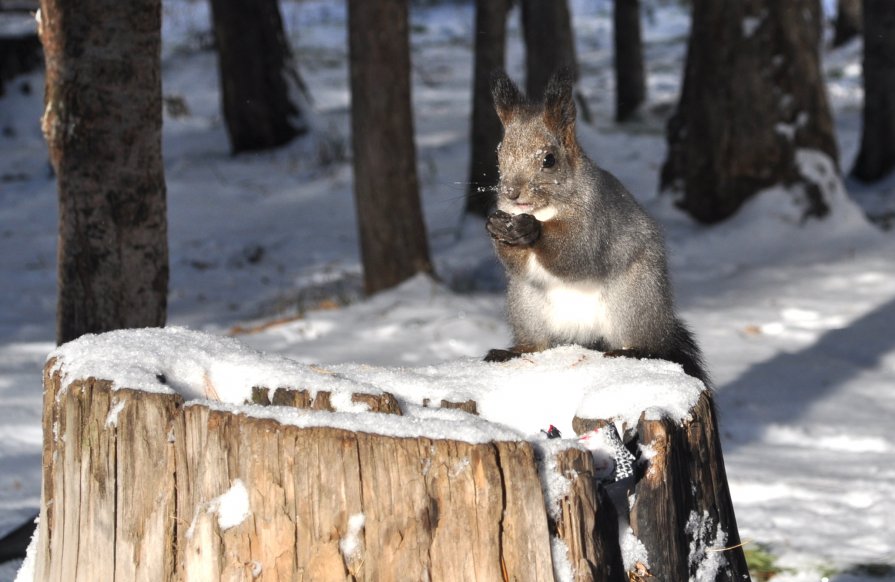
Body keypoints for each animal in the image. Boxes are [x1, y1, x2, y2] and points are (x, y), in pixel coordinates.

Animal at [486, 70, 712, 388]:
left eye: (549, 160)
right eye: (499, 154)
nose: (511, 192)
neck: (544, 209)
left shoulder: (596, 218)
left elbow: (577, 250)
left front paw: (532, 230)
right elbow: (516, 262)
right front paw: (496, 226)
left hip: (633, 299)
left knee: (644, 344)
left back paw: (632, 352)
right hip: (527, 305)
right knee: (538, 344)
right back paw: (512, 352)